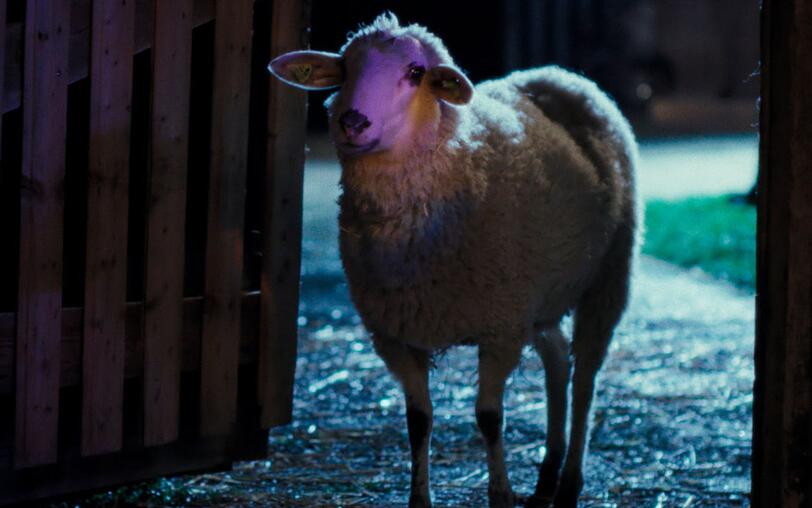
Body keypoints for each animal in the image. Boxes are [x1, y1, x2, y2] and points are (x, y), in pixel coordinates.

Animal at [269, 12, 639, 508]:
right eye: (344, 69)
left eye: (415, 72)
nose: (352, 122)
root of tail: (556, 73)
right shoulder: (396, 336)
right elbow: (417, 422)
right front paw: (419, 498)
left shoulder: (500, 328)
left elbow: (489, 418)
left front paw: (500, 494)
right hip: (539, 298)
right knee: (559, 361)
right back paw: (546, 476)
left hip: (609, 276)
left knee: (585, 380)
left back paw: (569, 483)